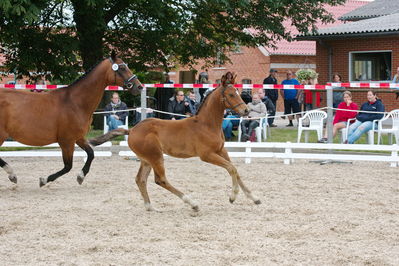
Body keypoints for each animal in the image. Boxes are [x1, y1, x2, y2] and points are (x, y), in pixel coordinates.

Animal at [0, 51, 144, 186]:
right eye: (122, 67)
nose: (139, 86)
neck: (75, 102)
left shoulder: (78, 138)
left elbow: (91, 154)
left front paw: (81, 176)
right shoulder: (66, 141)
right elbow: (68, 166)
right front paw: (44, 180)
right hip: (2, 135)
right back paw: (12, 174)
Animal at [89, 71, 260, 211]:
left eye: (238, 92)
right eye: (231, 94)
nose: (246, 110)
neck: (207, 124)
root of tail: (131, 130)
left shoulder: (221, 150)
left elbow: (235, 170)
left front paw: (254, 198)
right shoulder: (206, 155)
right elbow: (231, 168)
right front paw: (233, 197)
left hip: (146, 159)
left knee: (140, 179)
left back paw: (150, 207)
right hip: (156, 156)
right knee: (160, 180)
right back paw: (192, 203)